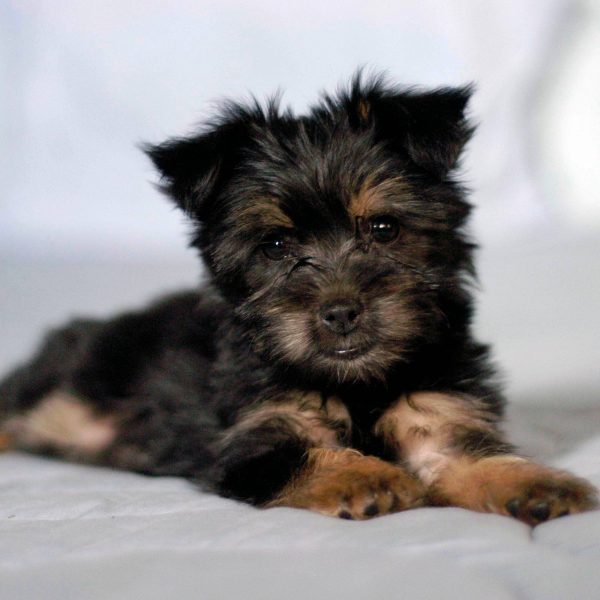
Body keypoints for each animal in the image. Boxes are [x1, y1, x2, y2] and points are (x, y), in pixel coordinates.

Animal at [0, 74, 596, 524]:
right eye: (276, 246)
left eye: (383, 229)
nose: (340, 311)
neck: (357, 383)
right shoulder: (256, 435)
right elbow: (306, 454)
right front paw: (365, 474)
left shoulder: (438, 414)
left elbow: (472, 459)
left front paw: (536, 483)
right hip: (57, 383)